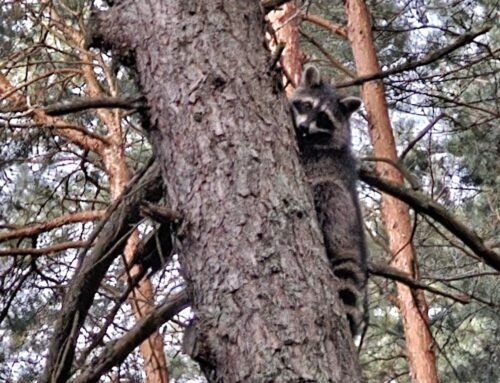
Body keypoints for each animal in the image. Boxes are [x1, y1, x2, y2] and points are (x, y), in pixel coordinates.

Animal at [290, 64, 368, 334]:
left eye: (323, 118)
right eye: (306, 105)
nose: (304, 128)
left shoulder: (317, 156)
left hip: (340, 213)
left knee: (328, 190)